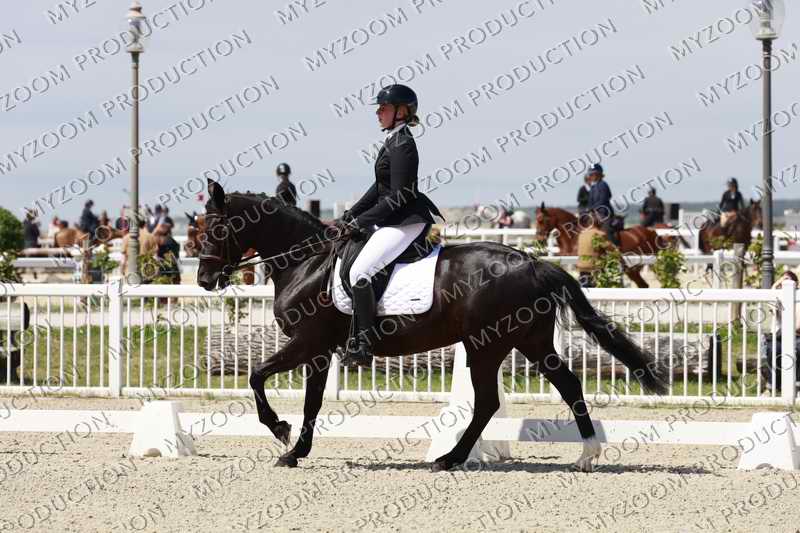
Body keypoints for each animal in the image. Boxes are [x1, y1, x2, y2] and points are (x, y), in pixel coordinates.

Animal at [197, 180, 668, 472]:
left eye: (216, 227)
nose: (203, 279)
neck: (306, 262)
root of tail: (533, 263)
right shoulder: (319, 349)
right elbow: (311, 402)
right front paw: (296, 450)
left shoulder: (306, 342)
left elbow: (257, 377)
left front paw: (281, 432)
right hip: (528, 341)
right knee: (565, 384)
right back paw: (585, 455)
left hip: (486, 346)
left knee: (489, 402)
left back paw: (450, 458)